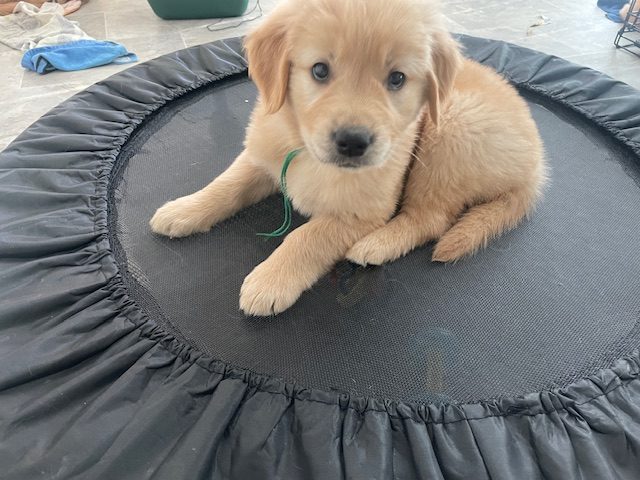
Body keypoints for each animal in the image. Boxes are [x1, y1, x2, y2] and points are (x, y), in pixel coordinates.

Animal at [150, 0, 544, 316]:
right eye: (320, 70)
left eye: (397, 78)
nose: (353, 142)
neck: (306, 148)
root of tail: (537, 167)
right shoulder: (262, 157)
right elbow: (226, 185)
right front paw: (184, 210)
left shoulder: (363, 211)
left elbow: (307, 236)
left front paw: (271, 281)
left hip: (447, 128)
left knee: (432, 218)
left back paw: (376, 245)